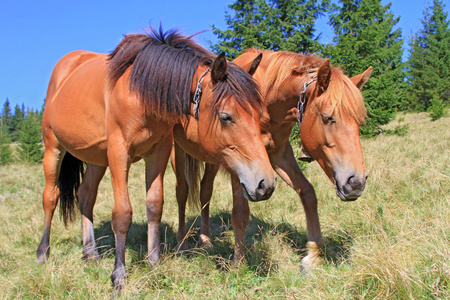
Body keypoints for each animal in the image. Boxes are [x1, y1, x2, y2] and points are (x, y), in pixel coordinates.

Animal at [37, 28, 276, 288]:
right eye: (226, 116)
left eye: (259, 115)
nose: (266, 184)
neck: (140, 92)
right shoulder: (119, 152)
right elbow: (122, 213)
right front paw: (119, 276)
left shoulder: (158, 152)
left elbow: (154, 205)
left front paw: (153, 262)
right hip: (53, 147)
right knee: (50, 196)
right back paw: (43, 253)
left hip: (96, 158)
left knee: (86, 196)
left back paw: (90, 253)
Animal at [173, 48, 372, 270]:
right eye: (328, 117)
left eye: (359, 121)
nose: (356, 183)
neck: (267, 98)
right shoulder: (240, 166)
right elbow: (240, 212)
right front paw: (239, 262)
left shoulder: (278, 155)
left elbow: (308, 193)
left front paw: (313, 255)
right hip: (178, 152)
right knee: (182, 192)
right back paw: (182, 243)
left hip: (213, 160)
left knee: (205, 191)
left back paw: (206, 239)